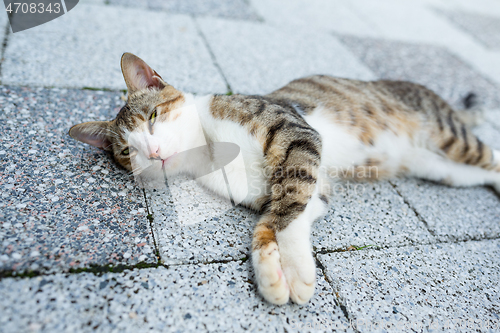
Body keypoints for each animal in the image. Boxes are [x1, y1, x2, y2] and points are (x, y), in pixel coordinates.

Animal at [69, 52, 500, 304]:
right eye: (127, 152)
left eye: (154, 116)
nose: (154, 152)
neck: (209, 150)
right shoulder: (307, 186)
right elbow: (278, 219)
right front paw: (277, 272)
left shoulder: (296, 133)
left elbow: (289, 206)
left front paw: (290, 272)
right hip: (442, 168)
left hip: (448, 137)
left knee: (491, 157)